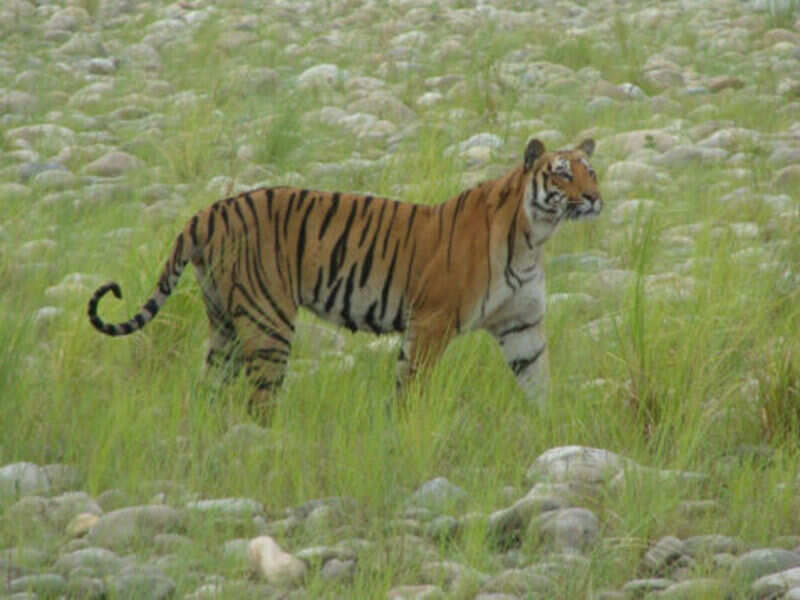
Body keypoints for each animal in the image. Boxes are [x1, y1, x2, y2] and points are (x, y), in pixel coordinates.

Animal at [87, 137, 601, 419]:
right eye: (563, 175)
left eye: (590, 171)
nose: (595, 197)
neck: (535, 235)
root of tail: (206, 212)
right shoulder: (432, 321)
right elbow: (412, 386)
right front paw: (406, 431)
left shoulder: (521, 324)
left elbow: (537, 379)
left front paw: (551, 432)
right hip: (268, 321)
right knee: (259, 400)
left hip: (224, 322)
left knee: (210, 389)